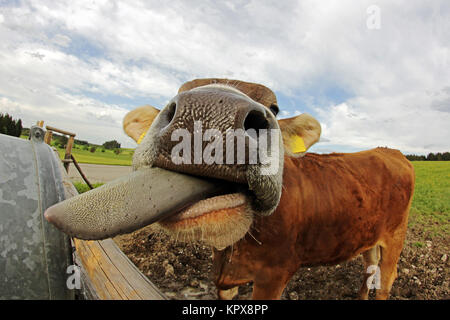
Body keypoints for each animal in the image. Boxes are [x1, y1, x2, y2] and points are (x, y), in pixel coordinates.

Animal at [45, 78, 414, 300]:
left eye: (275, 108)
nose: (210, 112)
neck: (234, 249)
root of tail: (391, 151)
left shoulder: (274, 276)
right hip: (367, 236)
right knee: (369, 269)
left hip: (396, 236)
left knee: (387, 278)